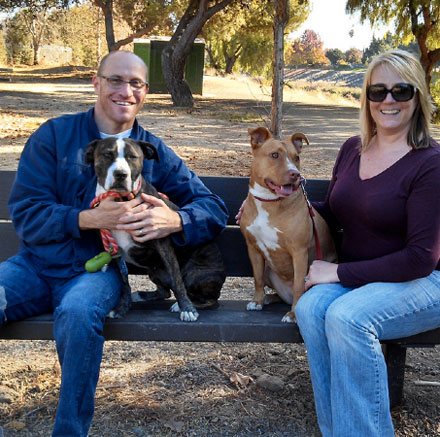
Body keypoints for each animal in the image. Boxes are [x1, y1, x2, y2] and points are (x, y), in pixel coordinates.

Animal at [84, 138, 225, 322]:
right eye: (107, 155)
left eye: (132, 157)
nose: (121, 174)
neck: (121, 201)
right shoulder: (114, 251)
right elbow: (124, 282)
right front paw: (122, 307)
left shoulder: (163, 243)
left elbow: (177, 280)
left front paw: (187, 309)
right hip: (154, 271)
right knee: (165, 291)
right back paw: (142, 296)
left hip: (195, 274)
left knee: (211, 300)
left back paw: (182, 305)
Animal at [239, 126, 336, 320]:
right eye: (275, 155)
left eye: (296, 157)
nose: (295, 174)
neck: (269, 202)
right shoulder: (253, 248)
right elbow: (257, 278)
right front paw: (257, 301)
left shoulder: (299, 252)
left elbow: (299, 284)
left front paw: (293, 314)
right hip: (269, 270)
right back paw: (269, 298)